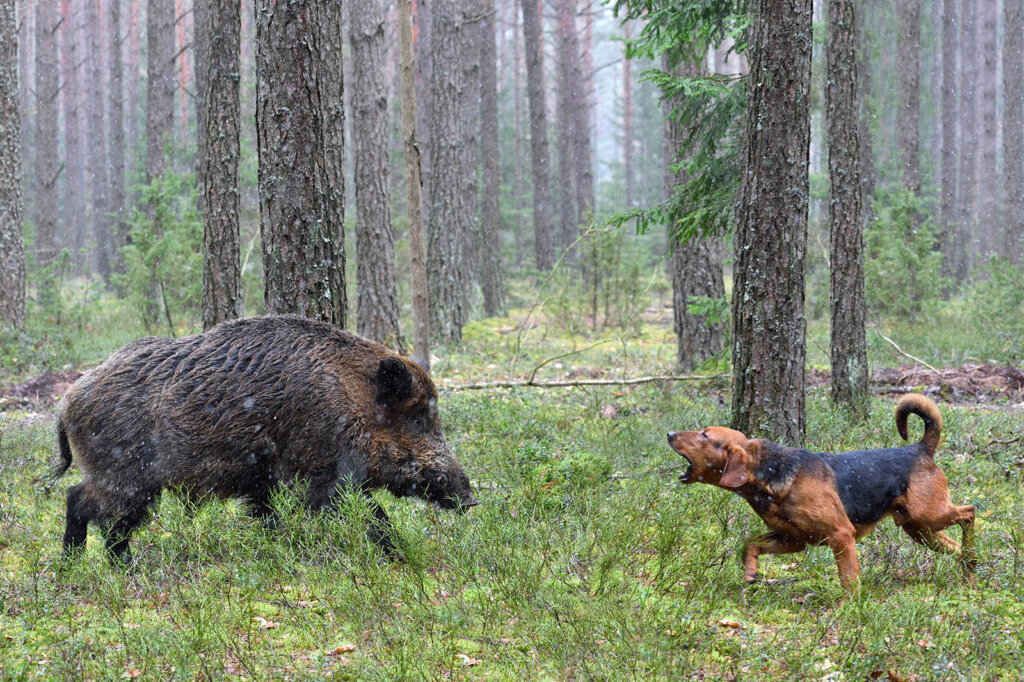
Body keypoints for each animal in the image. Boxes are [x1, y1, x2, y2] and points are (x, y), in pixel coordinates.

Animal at [671, 393, 974, 589]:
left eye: (704, 435)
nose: (670, 434)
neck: (770, 475)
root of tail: (920, 449)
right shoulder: (792, 540)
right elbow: (750, 542)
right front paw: (750, 572)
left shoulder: (841, 536)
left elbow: (849, 581)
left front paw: (849, 612)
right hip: (920, 529)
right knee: (957, 546)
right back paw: (969, 573)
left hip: (928, 516)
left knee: (970, 512)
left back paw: (972, 557)